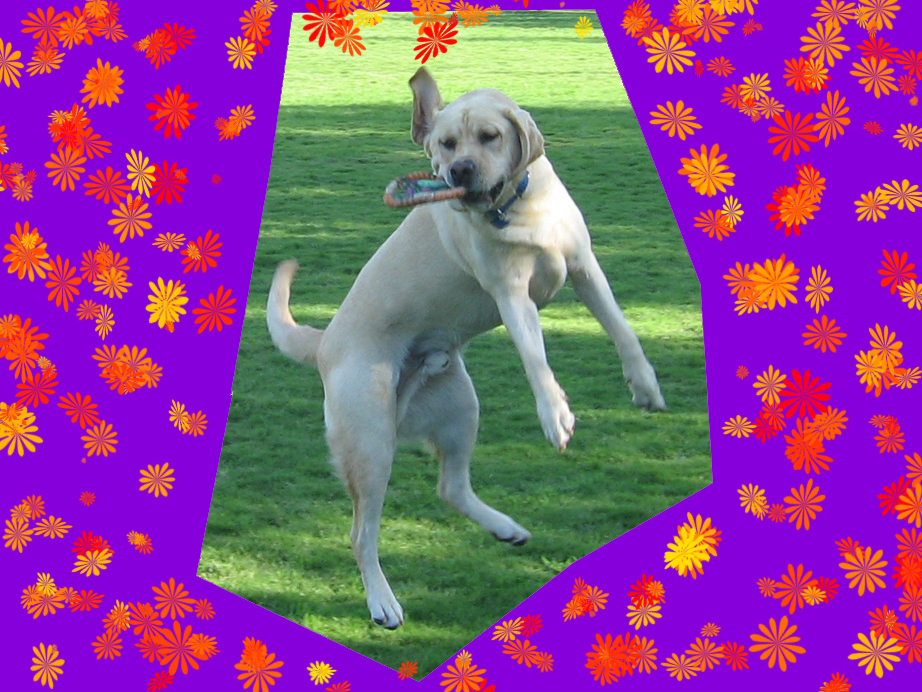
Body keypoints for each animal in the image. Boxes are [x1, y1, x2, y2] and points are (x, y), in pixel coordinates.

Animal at [267, 67, 666, 629]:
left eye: (490, 136)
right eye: (446, 143)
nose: (458, 169)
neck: (518, 208)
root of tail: (324, 342)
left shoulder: (584, 267)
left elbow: (621, 328)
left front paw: (645, 386)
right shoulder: (511, 296)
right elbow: (536, 360)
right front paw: (556, 416)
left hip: (459, 407)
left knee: (449, 487)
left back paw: (505, 528)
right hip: (370, 440)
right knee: (361, 532)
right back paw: (382, 601)